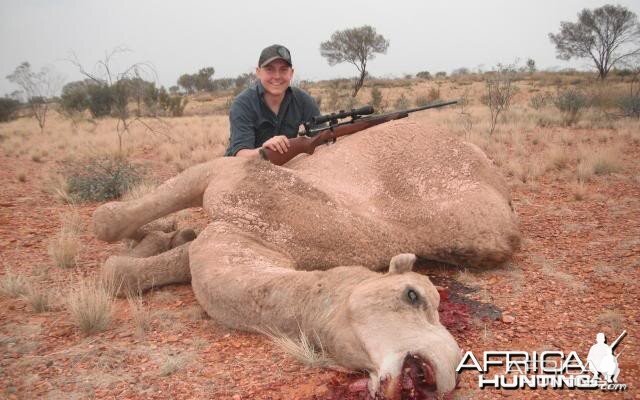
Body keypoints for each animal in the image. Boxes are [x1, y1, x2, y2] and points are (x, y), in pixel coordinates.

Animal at [91, 120, 520, 398]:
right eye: (413, 295)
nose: (447, 372)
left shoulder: (235, 238)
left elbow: (128, 270)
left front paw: (156, 240)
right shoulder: (230, 178)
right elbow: (111, 224)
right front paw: (150, 234)